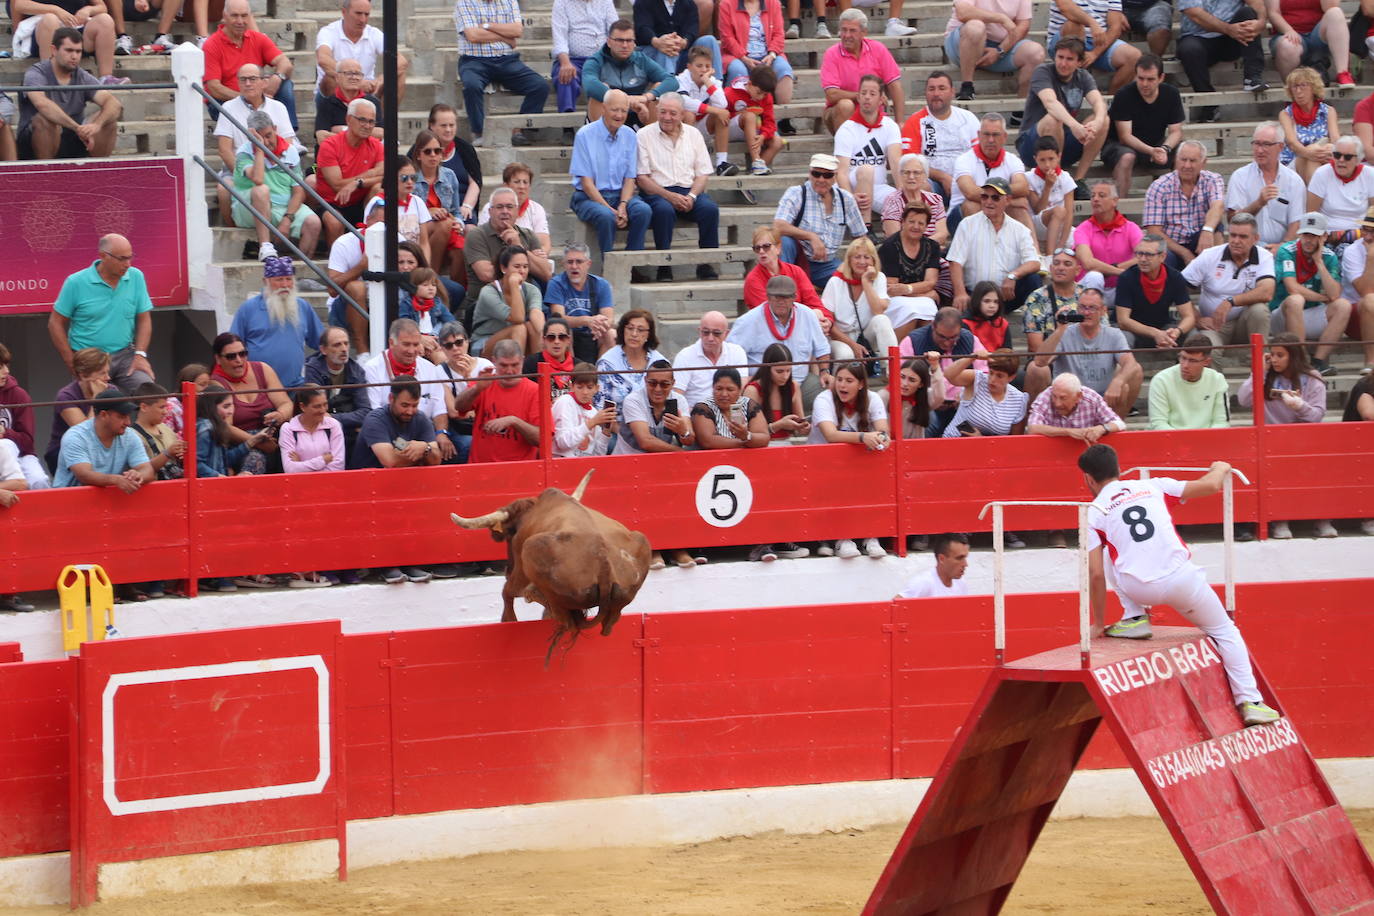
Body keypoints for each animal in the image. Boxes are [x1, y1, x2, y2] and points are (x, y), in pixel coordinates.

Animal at [445, 469, 648, 656]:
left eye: (509, 535)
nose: (506, 569)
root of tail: (602, 558)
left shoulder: (518, 571)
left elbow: (506, 594)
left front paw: (508, 619)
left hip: (529, 549)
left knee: (558, 614)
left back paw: (533, 595)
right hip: (641, 541)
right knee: (607, 622)